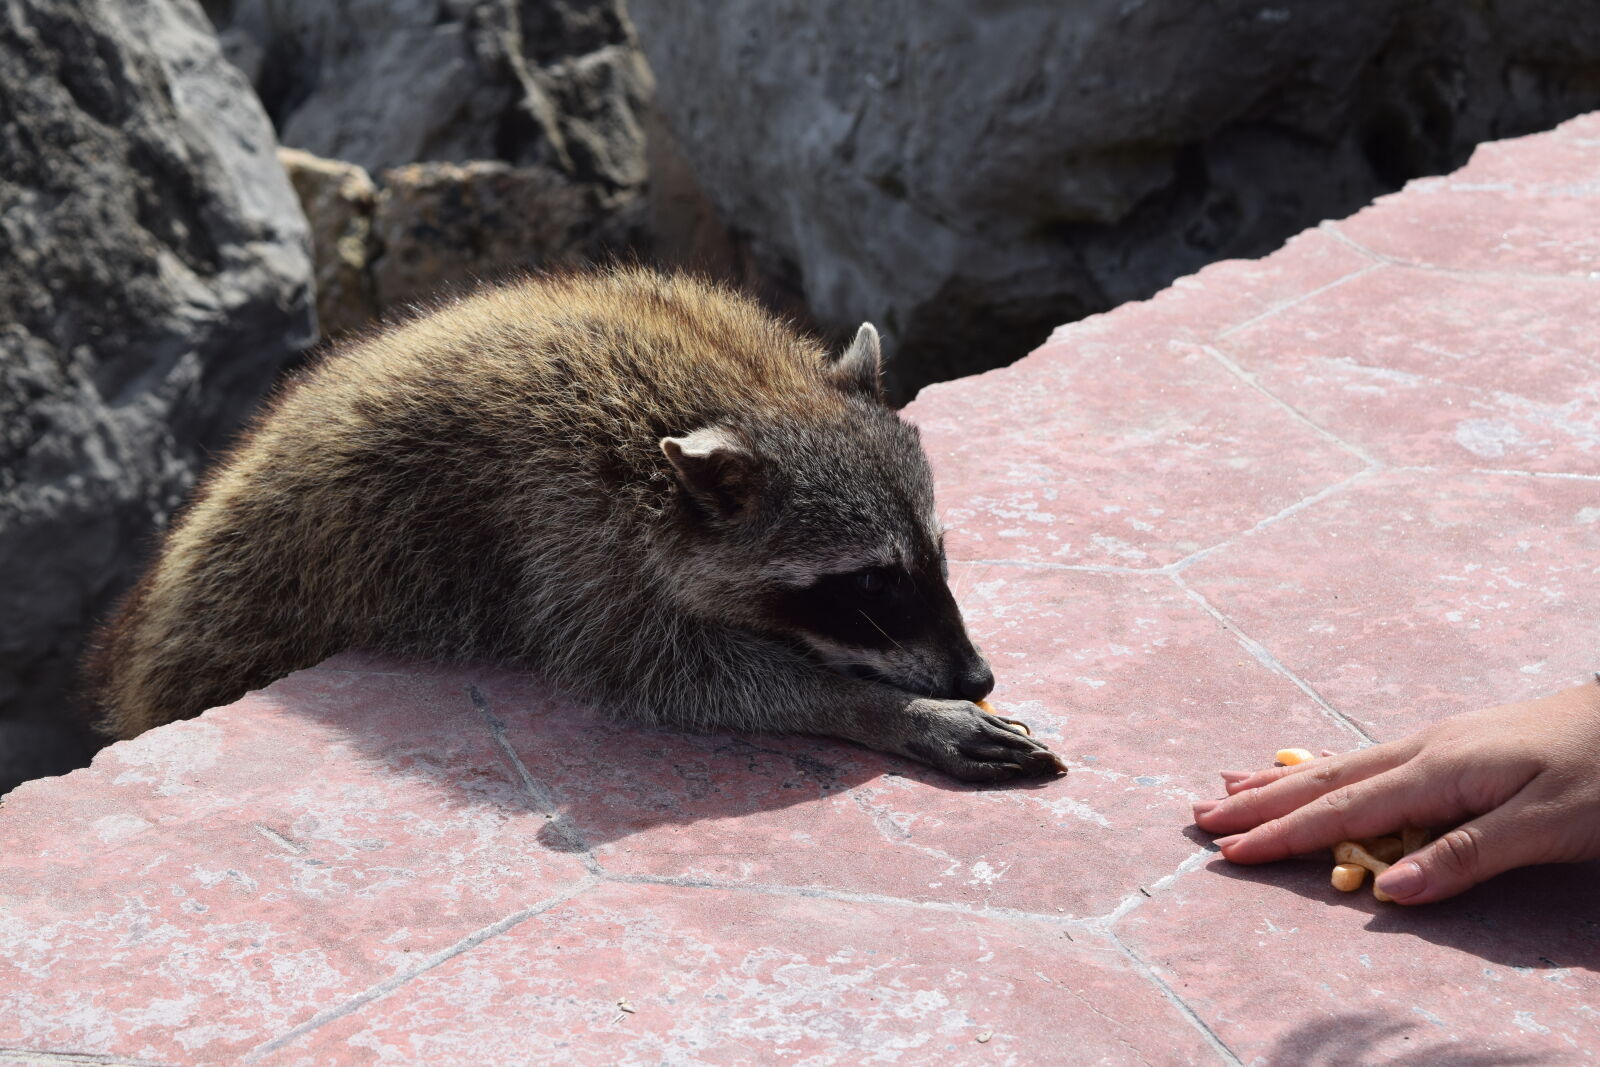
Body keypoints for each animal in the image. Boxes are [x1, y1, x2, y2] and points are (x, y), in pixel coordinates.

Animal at [86, 268, 1065, 781]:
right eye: (869, 582)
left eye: (935, 555)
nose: (975, 674)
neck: (739, 384)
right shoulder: (565, 531)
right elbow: (674, 674)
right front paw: (885, 708)